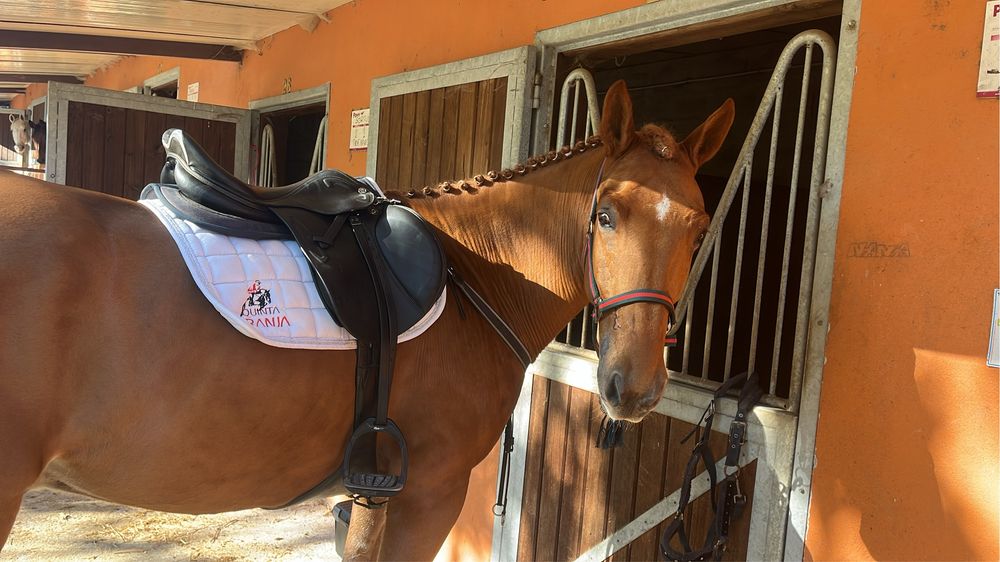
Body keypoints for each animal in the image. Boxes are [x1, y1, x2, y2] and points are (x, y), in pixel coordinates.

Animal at [0, 81, 733, 560]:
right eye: (606, 215)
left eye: (699, 225)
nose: (632, 387)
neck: (477, 273)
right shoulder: (431, 493)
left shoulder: (375, 494)